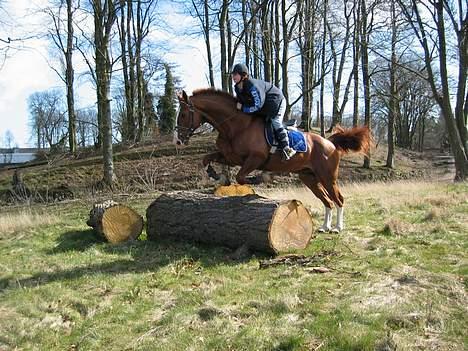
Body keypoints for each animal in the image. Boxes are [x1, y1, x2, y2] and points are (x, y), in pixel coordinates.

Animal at [174, 88, 372, 234]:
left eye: (183, 114)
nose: (177, 141)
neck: (235, 125)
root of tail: (329, 142)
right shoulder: (231, 157)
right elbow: (206, 159)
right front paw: (217, 175)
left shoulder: (255, 158)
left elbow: (241, 177)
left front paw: (262, 178)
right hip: (309, 178)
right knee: (327, 201)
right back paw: (325, 227)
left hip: (327, 176)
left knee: (338, 199)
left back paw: (337, 228)